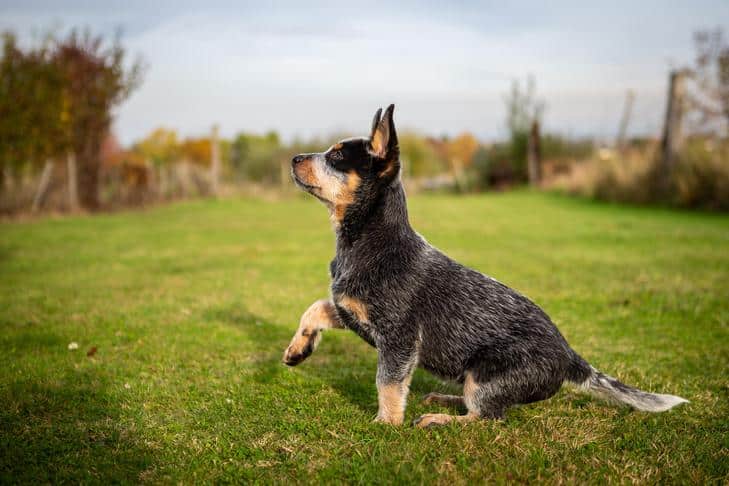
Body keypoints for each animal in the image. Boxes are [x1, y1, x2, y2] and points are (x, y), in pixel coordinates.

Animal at [282, 104, 684, 428]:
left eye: (336, 156)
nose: (293, 158)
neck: (371, 243)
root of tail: (571, 357)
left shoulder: (399, 339)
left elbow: (388, 383)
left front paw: (386, 423)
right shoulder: (352, 311)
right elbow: (315, 308)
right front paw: (298, 349)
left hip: (483, 376)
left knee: (488, 416)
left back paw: (439, 418)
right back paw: (444, 400)